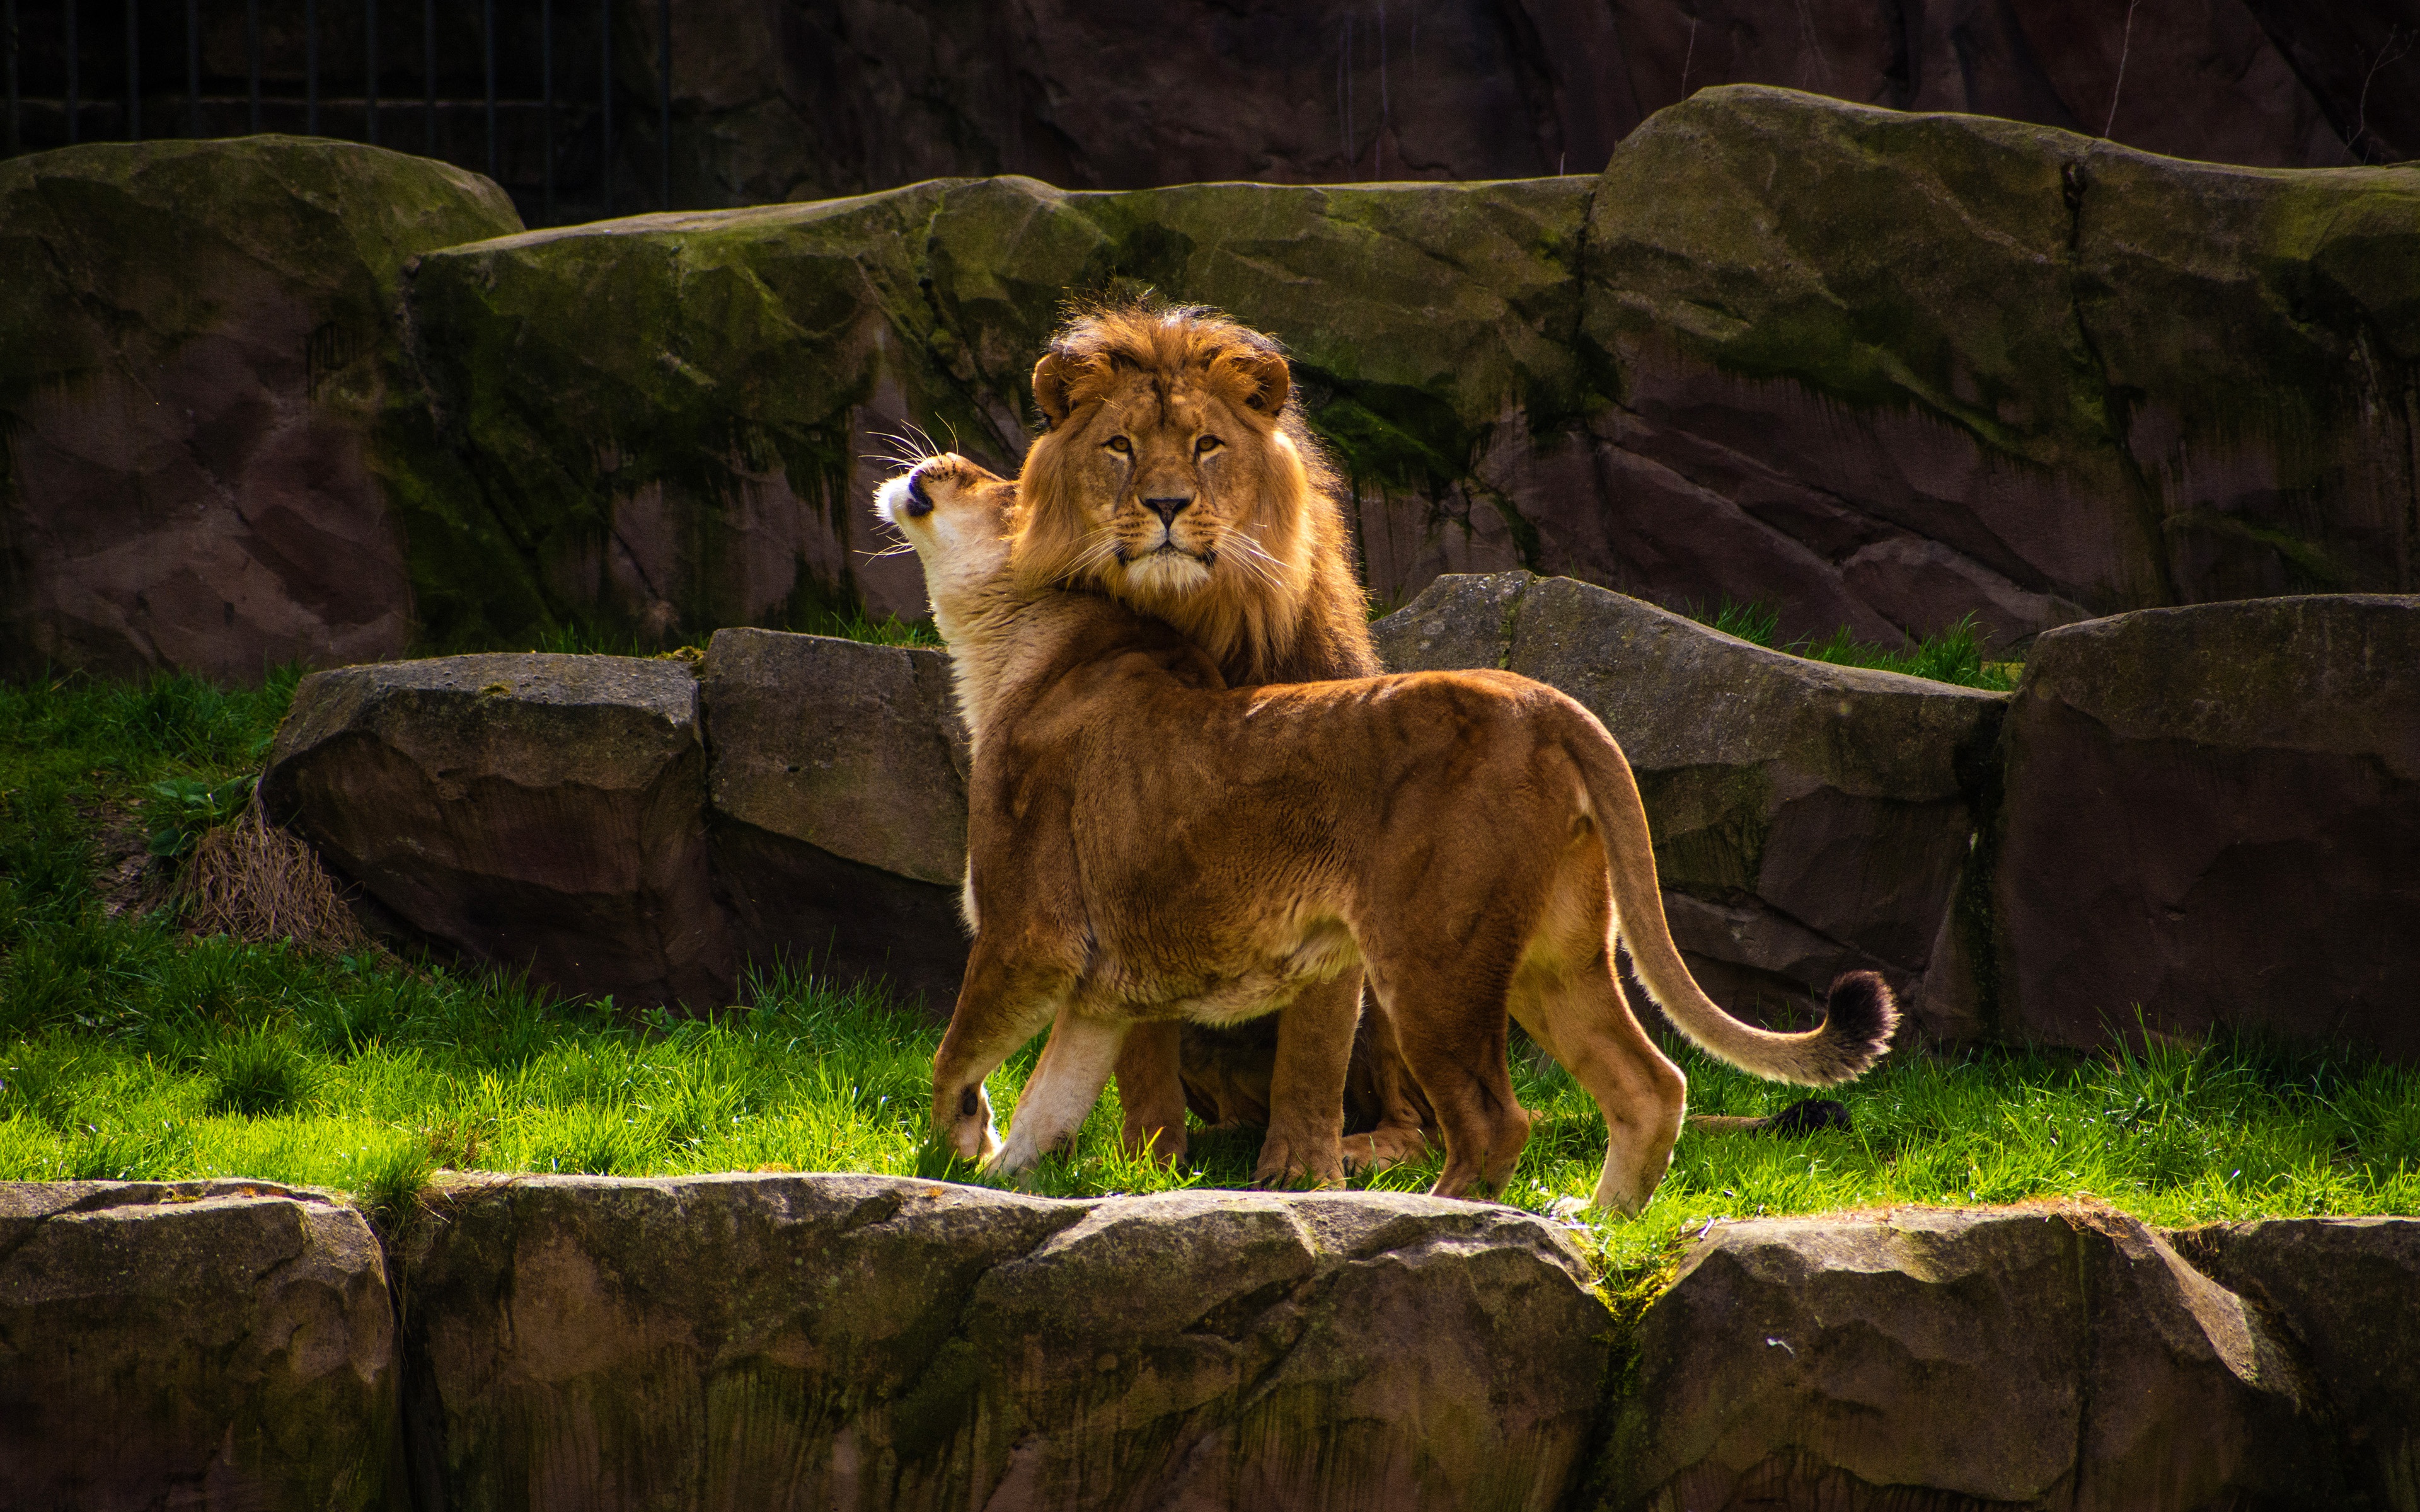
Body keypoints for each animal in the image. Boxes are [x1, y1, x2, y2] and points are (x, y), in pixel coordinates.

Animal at [880, 454, 1897, 1210]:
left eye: (992, 482)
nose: (928, 462)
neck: (1014, 650)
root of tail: (1543, 698)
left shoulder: (1031, 936)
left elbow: (955, 1052)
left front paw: (955, 1149)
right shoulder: (1100, 989)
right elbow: (1053, 1099)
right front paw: (1006, 1172)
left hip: (1429, 955)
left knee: (1495, 1121)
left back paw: (1436, 1213)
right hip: (1553, 957)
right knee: (1652, 1087)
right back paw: (1597, 1222)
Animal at [1011, 301, 1422, 1185]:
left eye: (1207, 445)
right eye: (1120, 446)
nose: (1166, 504)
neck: (1195, 627)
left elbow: (1315, 1048)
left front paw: (1303, 1173)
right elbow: (1139, 1054)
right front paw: (1147, 1165)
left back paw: (1365, 1148)